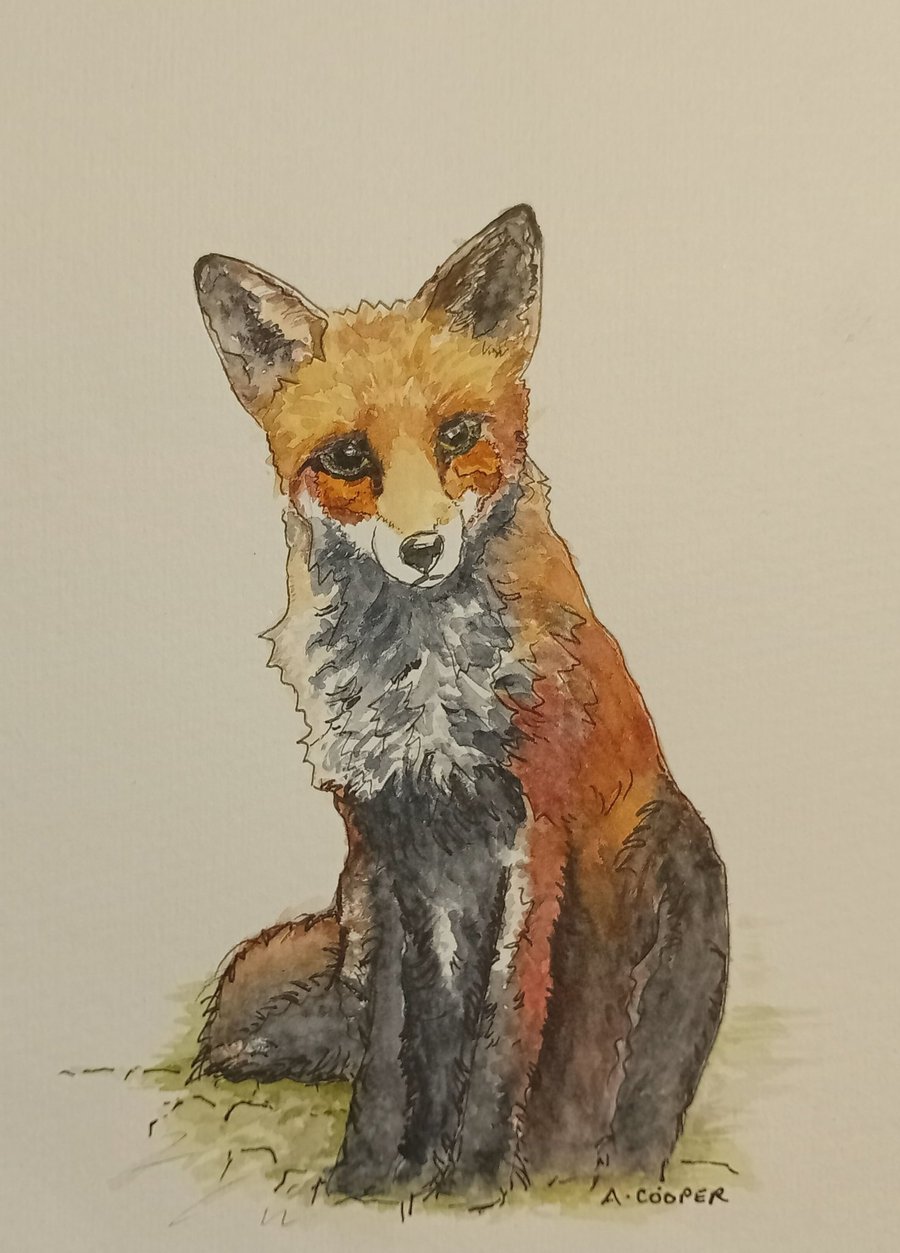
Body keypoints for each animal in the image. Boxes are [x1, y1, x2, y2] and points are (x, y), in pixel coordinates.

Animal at [192, 205, 728, 1201]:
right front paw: (369, 1177)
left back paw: (600, 1167)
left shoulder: (532, 837)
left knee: (634, 1096)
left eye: (458, 435)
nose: (422, 548)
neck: (425, 703)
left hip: (678, 855)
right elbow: (393, 1043)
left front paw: (475, 1184)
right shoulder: (382, 849)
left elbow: (502, 1036)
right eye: (348, 457)